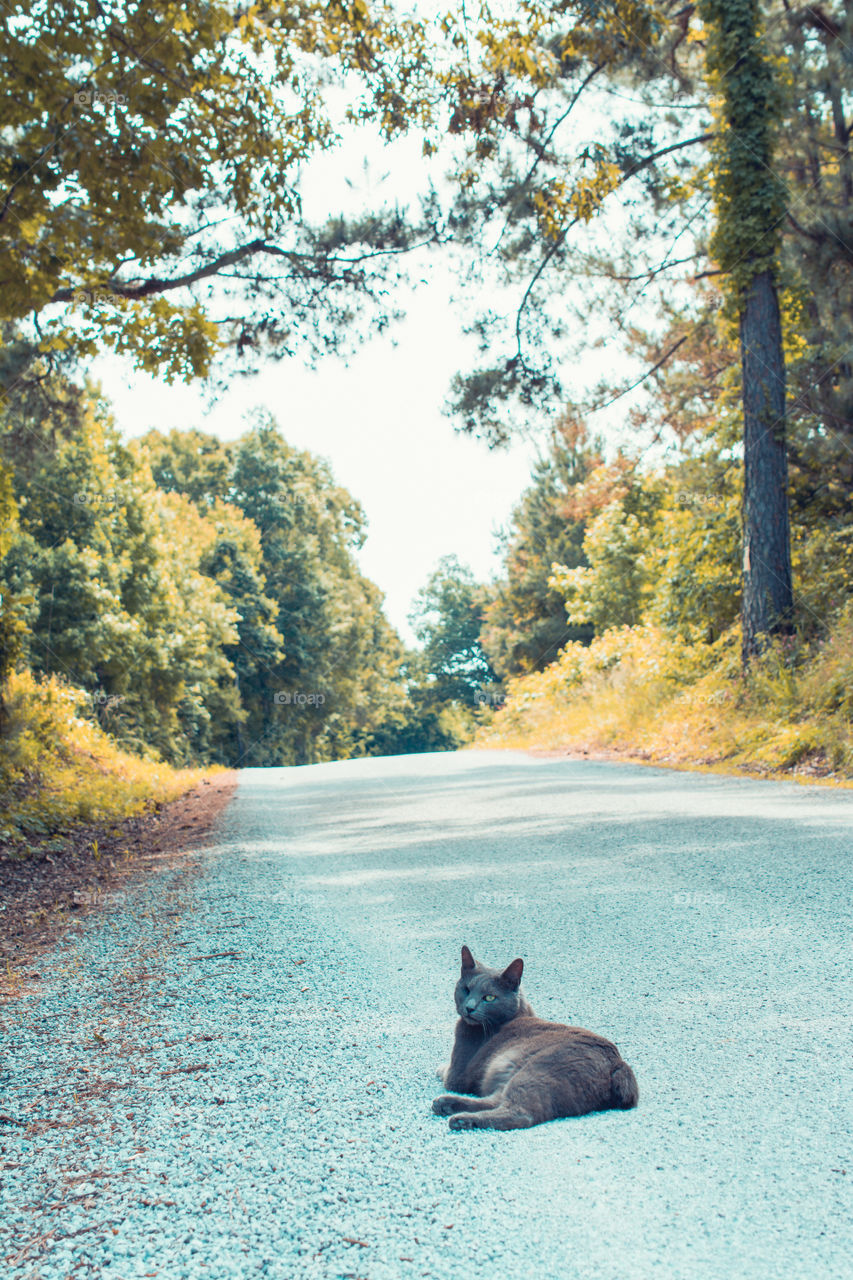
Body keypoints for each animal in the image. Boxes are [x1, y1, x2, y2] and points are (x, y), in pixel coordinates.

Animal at [435, 942, 635, 1131]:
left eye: (489, 997)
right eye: (466, 989)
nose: (469, 1007)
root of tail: (618, 1064)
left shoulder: (456, 1074)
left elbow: (445, 1072)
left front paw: (439, 1068)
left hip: (536, 1070)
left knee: (519, 1114)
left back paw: (460, 1119)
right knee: (496, 1100)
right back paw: (445, 1104)